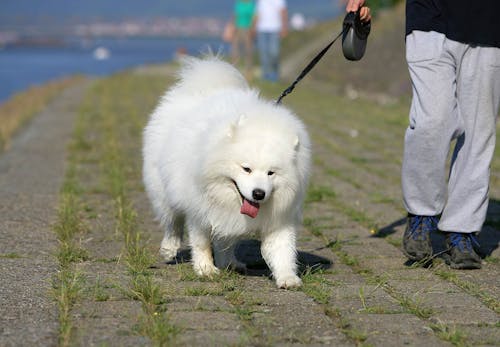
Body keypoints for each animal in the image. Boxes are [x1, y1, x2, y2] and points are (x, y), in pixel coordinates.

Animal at [143, 57, 310, 290]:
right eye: (246, 169)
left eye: (271, 173)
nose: (259, 193)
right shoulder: (199, 209)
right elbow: (201, 242)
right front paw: (205, 269)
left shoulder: (279, 217)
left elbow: (282, 250)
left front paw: (287, 277)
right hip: (163, 190)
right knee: (172, 221)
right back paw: (169, 249)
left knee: (225, 240)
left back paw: (230, 262)